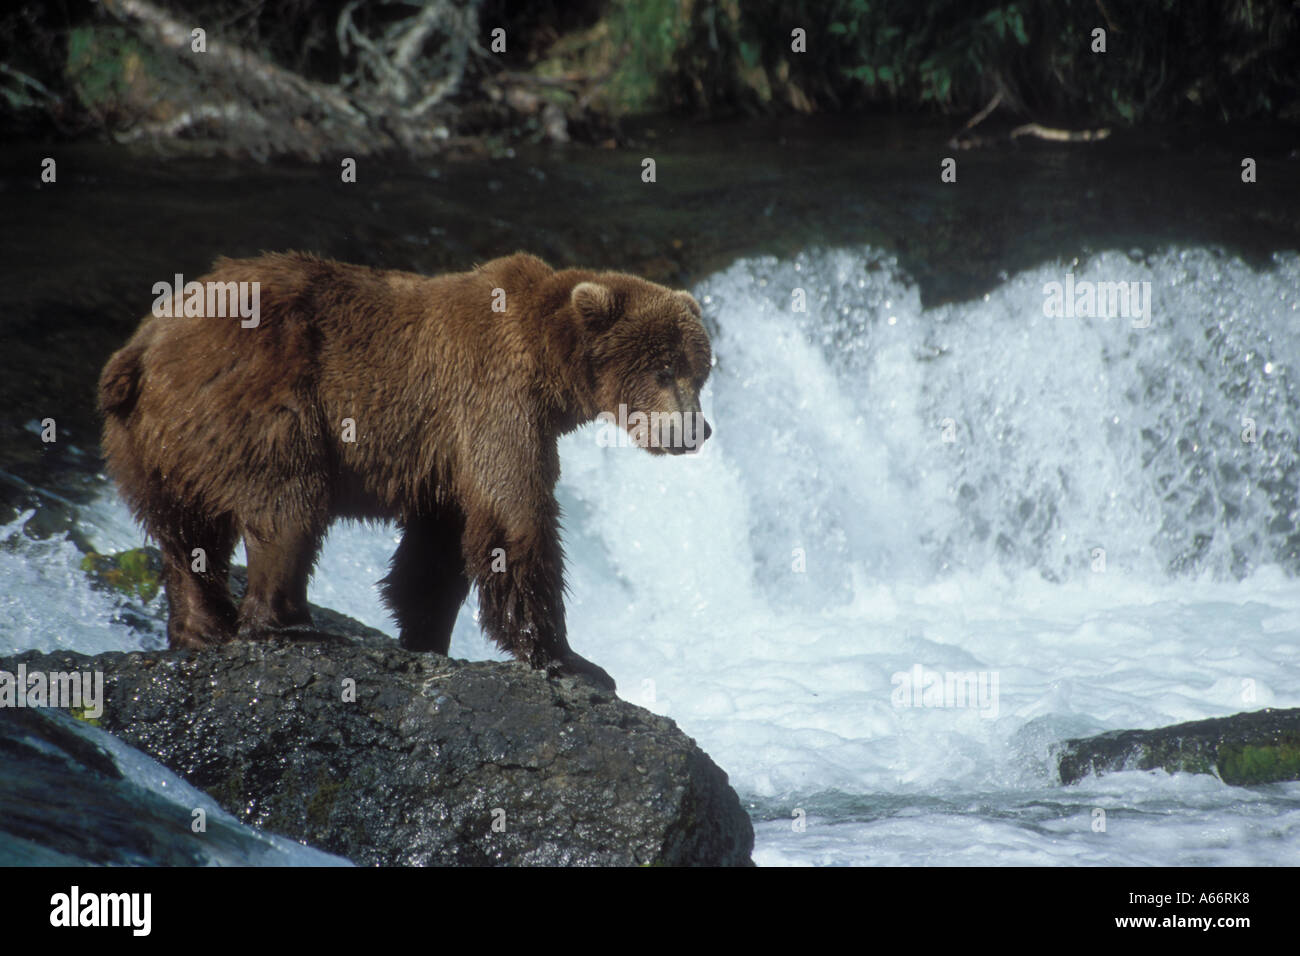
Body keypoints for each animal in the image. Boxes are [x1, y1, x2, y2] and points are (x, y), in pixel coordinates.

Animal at [98, 251, 712, 691]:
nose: (696, 431)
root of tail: (142, 346)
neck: (551, 367)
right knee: (288, 504)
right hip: (257, 398)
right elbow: (515, 519)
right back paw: (288, 621)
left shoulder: (447, 452)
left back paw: (202, 628)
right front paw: (571, 658)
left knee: (186, 535)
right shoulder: (495, 398)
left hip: (155, 444)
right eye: (663, 370)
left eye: (699, 372)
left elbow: (439, 547)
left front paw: (426, 634)